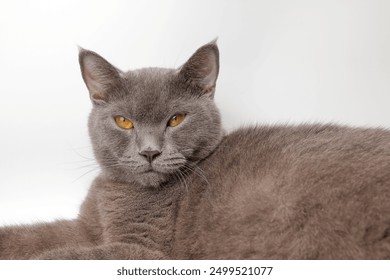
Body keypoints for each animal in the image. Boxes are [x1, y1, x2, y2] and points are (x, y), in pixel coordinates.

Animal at [0, 40, 390, 260]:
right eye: (124, 121)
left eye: (176, 119)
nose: (150, 152)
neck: (116, 194)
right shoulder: (86, 228)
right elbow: (37, 236)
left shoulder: (143, 250)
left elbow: (61, 257)